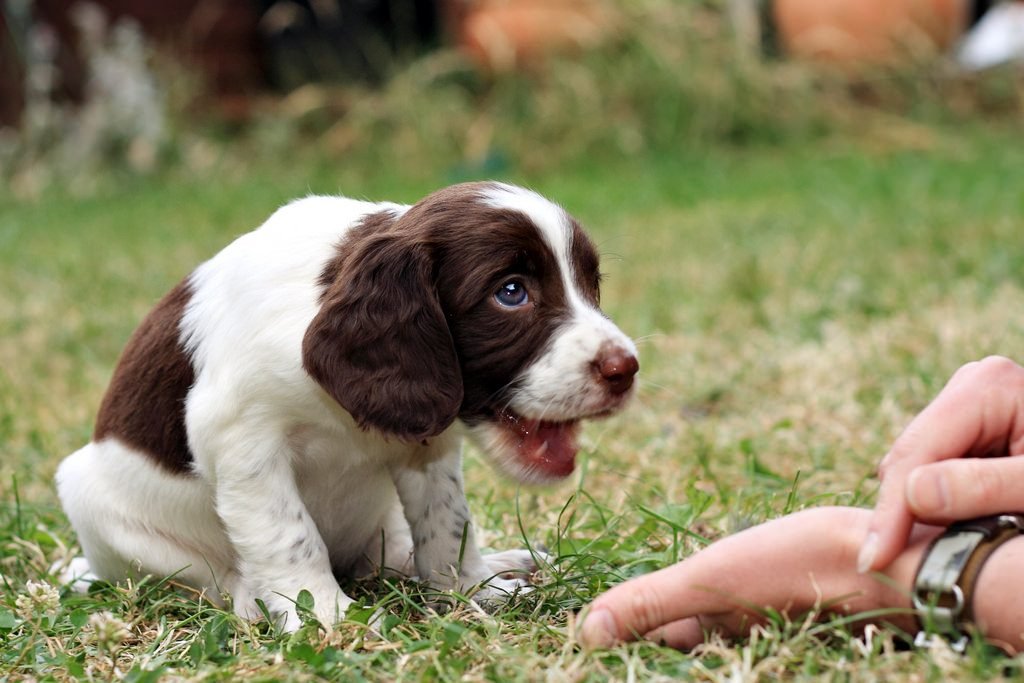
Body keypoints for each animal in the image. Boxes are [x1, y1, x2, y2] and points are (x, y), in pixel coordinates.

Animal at [56, 180, 634, 630]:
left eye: (591, 285)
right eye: (511, 292)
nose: (625, 369)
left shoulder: (426, 446)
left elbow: (446, 522)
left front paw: (472, 587)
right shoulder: (243, 442)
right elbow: (289, 534)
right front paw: (326, 613)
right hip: (94, 502)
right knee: (209, 575)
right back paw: (249, 597)